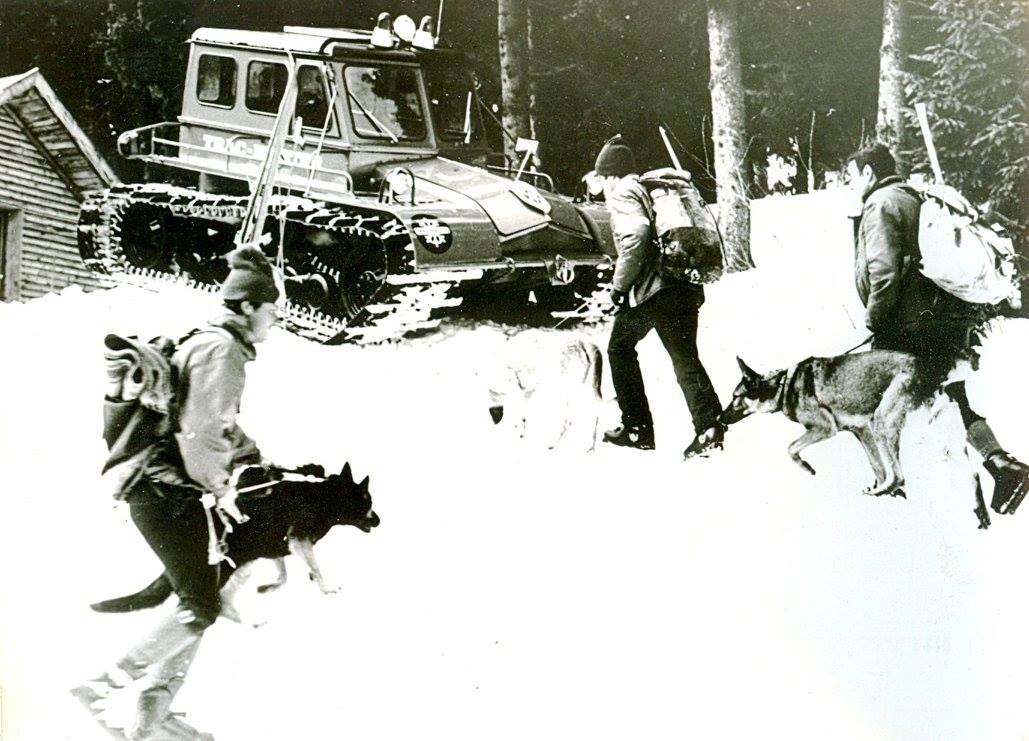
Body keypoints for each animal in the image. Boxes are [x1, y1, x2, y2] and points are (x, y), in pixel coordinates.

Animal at [90, 463, 380, 613]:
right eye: (368, 501)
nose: (379, 520)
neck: (324, 499)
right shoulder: (297, 539)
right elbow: (315, 570)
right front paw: (326, 587)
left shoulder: (275, 544)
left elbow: (285, 574)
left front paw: (271, 587)